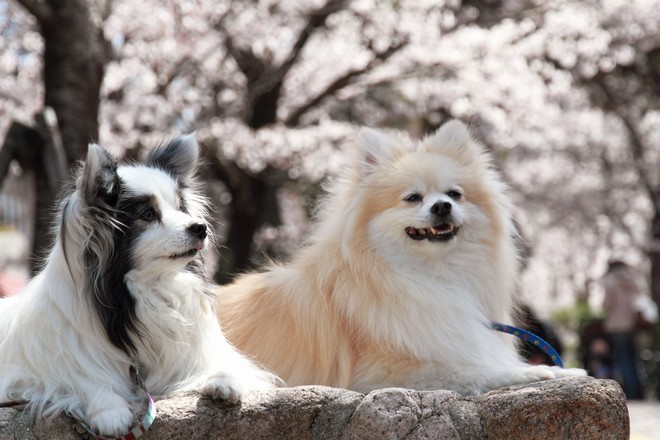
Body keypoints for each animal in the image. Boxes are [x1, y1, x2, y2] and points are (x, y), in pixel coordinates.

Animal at [0, 136, 278, 436]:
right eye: (147, 213)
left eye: (180, 208)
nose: (200, 227)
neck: (145, 290)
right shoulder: (29, 374)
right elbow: (81, 379)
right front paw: (108, 410)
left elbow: (220, 363)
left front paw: (225, 380)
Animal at [217, 120, 586, 395]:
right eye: (412, 198)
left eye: (455, 194)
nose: (442, 206)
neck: (429, 274)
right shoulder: (380, 373)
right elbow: (476, 369)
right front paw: (540, 373)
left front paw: (565, 371)